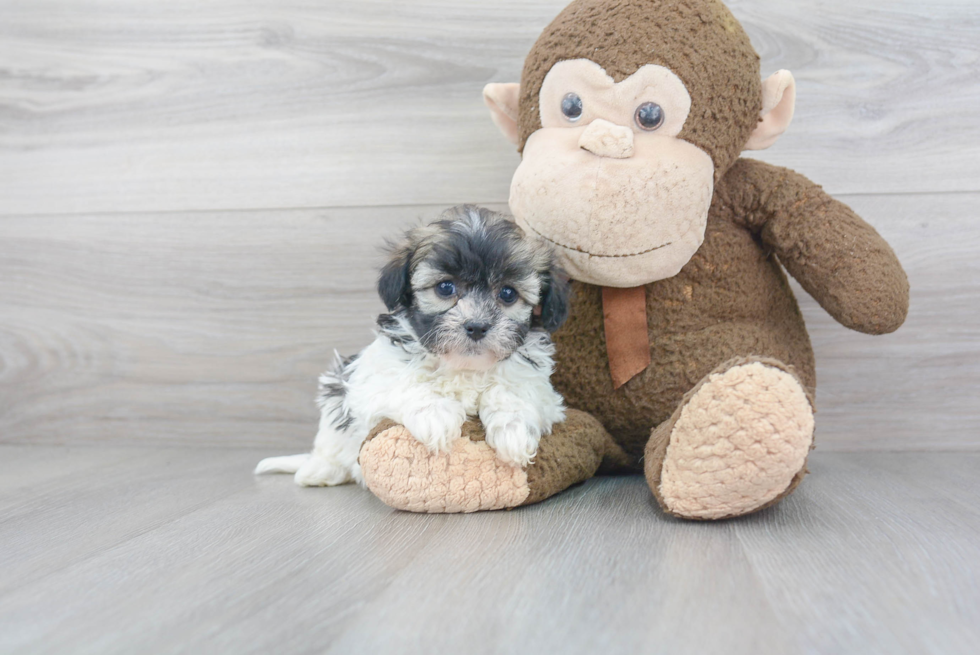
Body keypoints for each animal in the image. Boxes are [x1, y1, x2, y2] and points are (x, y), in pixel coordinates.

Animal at [256, 205, 572, 486]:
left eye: (508, 293)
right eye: (445, 287)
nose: (477, 326)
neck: (462, 366)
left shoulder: (543, 393)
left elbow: (513, 392)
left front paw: (513, 430)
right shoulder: (371, 378)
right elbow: (404, 383)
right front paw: (435, 415)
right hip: (335, 398)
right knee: (331, 440)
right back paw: (319, 470)